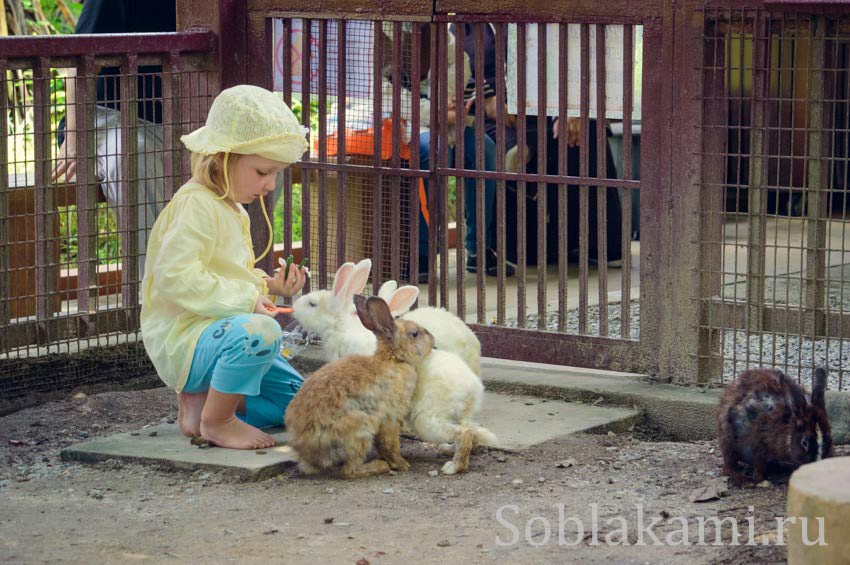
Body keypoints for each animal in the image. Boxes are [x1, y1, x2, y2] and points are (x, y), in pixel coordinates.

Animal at [284, 296, 430, 476]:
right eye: (414, 334)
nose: (433, 339)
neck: (394, 359)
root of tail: (306, 452)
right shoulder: (391, 416)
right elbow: (390, 443)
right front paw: (401, 464)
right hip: (360, 427)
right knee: (349, 471)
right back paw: (379, 466)